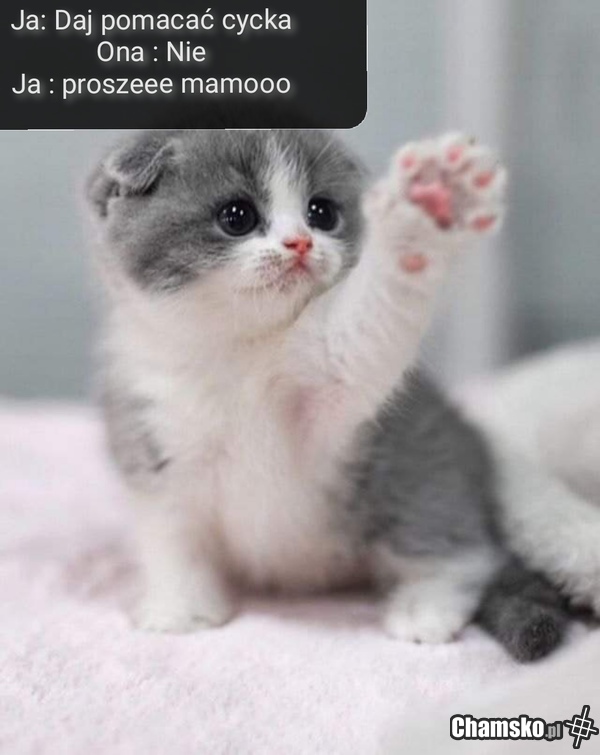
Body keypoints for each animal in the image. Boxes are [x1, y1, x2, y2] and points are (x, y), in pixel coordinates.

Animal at [85, 129, 570, 661]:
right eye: (237, 216)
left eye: (322, 212)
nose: (300, 242)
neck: (239, 351)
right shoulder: (153, 441)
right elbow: (171, 537)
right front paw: (181, 609)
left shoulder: (329, 389)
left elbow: (365, 330)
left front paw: (433, 201)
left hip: (419, 472)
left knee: (463, 550)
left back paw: (425, 608)